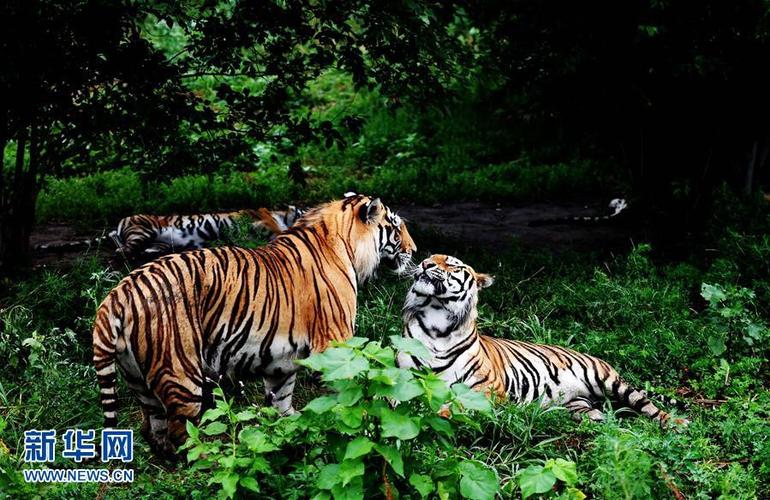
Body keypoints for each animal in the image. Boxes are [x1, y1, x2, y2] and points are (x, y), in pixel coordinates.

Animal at [92, 195, 415, 456]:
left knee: (152, 429)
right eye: (396, 226)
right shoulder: (335, 344)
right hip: (180, 373)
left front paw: (293, 434)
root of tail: (119, 293)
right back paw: (210, 461)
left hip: (137, 379)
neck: (345, 243)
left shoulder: (281, 363)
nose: (414, 250)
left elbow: (282, 402)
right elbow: (351, 395)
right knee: (182, 434)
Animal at [397, 254, 688, 426]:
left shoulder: (487, 389)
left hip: (610, 382)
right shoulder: (404, 377)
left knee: (647, 405)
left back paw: (677, 424)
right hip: (578, 405)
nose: (425, 264)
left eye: (452, 264)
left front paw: (435, 412)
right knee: (602, 419)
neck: (438, 322)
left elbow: (457, 405)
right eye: (429, 257)